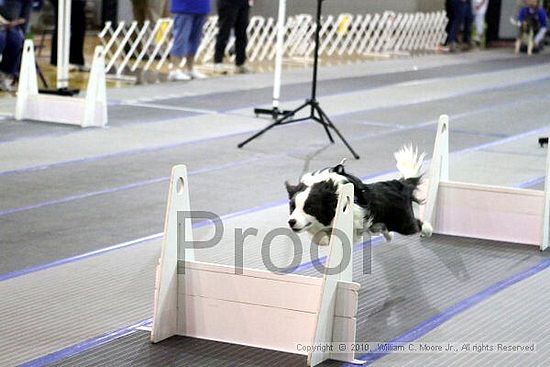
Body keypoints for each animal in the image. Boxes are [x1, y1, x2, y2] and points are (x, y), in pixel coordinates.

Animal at [286, 145, 434, 246]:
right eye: (292, 208)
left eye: (309, 208)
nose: (291, 222)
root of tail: (401, 183)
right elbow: (319, 236)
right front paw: (323, 238)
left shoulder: (354, 215)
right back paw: (389, 235)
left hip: (403, 222)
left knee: (417, 224)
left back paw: (428, 230)